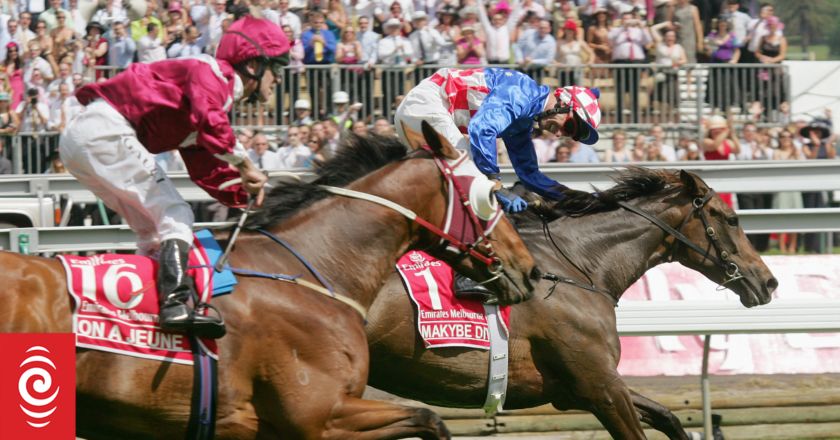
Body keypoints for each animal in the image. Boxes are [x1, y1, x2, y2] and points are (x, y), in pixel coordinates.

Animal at [365, 167, 778, 439]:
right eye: (732, 218)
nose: (769, 282)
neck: (577, 265)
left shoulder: (577, 389)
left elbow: (668, 417)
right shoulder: (601, 387)